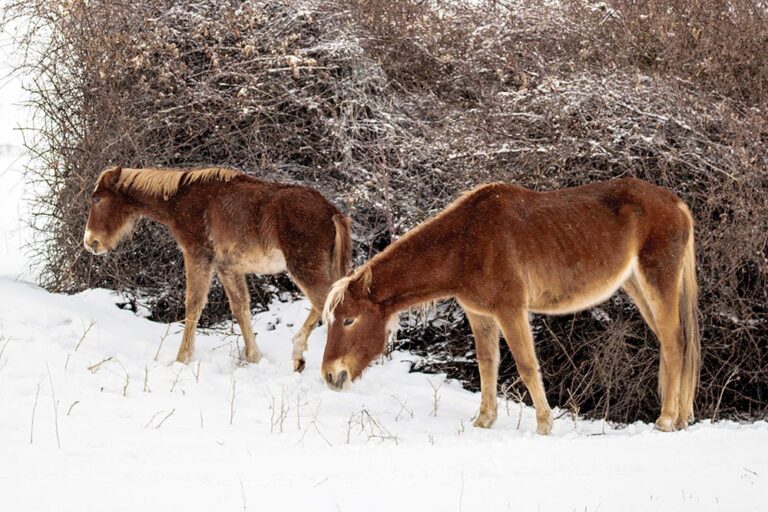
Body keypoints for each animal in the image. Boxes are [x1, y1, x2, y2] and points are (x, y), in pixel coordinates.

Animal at [84, 166, 352, 371]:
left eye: (97, 199)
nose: (90, 242)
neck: (180, 200)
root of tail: (332, 212)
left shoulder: (198, 256)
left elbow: (193, 304)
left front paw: (182, 358)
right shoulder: (227, 267)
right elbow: (240, 307)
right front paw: (253, 357)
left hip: (304, 268)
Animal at [321, 178, 699, 434]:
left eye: (349, 320)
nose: (329, 375)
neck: (466, 242)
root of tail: (677, 203)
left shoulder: (511, 310)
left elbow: (526, 365)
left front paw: (544, 424)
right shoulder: (479, 315)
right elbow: (487, 365)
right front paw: (483, 420)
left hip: (657, 282)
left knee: (674, 344)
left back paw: (666, 419)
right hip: (637, 286)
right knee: (674, 344)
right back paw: (680, 418)